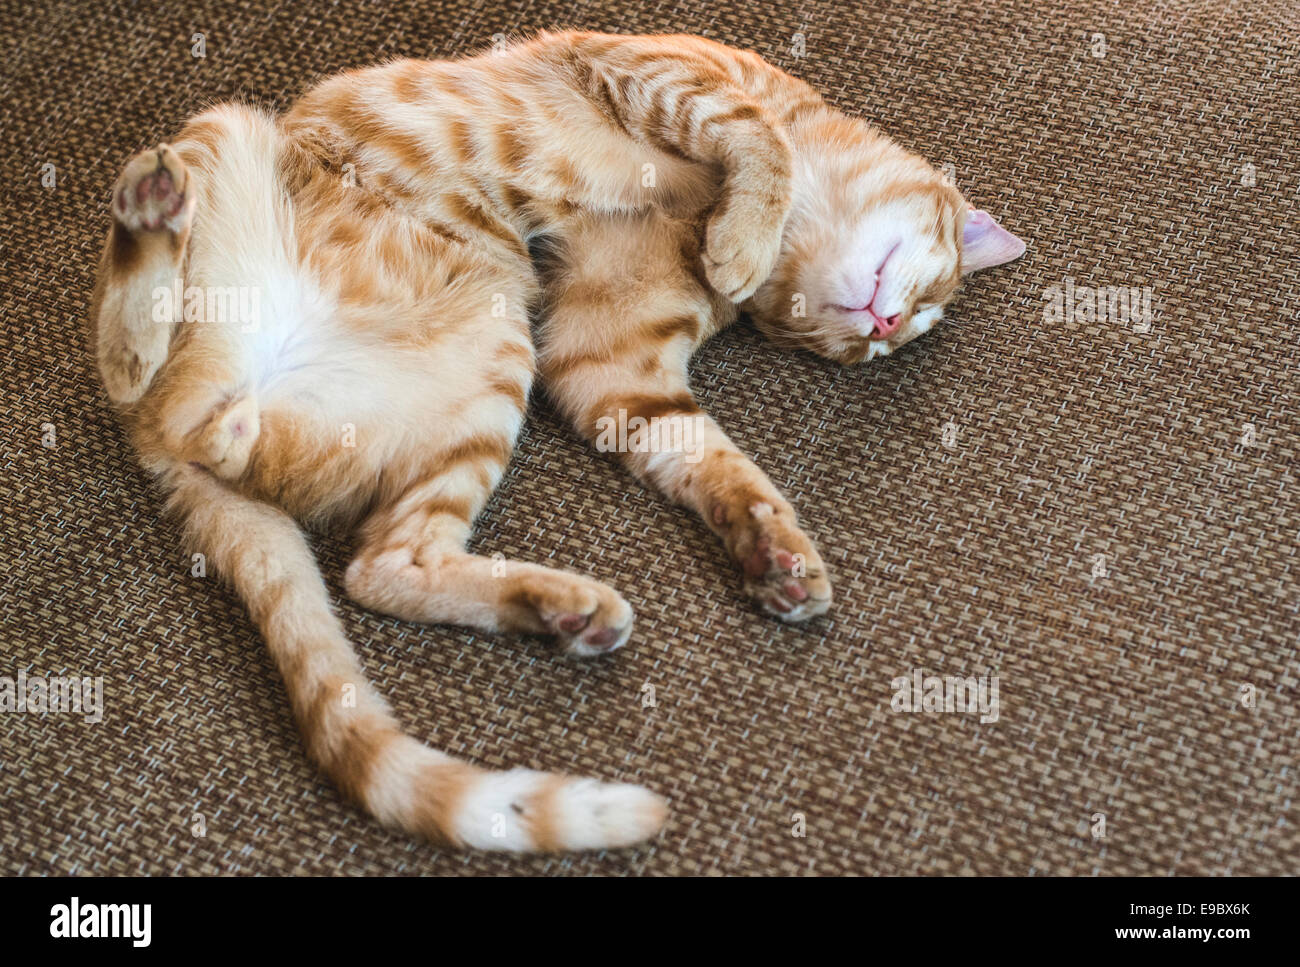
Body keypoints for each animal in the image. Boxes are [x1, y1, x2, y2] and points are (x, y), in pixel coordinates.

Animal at [89, 30, 1024, 852]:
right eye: (932, 291)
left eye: (877, 345)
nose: (885, 329)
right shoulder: (655, 68)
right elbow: (757, 137)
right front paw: (746, 239)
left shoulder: (607, 369)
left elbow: (721, 467)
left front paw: (777, 554)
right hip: (226, 132)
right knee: (143, 369)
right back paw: (147, 233)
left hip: (492, 363)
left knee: (374, 559)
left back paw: (562, 607)